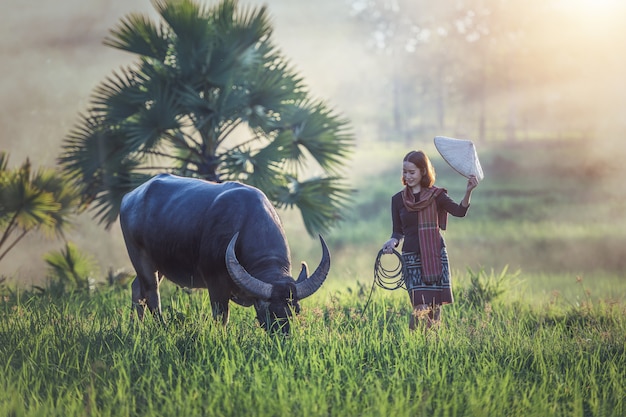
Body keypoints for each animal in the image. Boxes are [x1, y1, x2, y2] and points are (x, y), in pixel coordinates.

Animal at [119, 172, 330, 332]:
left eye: (295, 310)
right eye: (266, 309)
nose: (282, 335)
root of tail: (129, 198)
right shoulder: (216, 285)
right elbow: (222, 318)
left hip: (159, 264)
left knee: (137, 289)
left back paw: (134, 327)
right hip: (140, 257)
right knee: (152, 294)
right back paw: (161, 327)